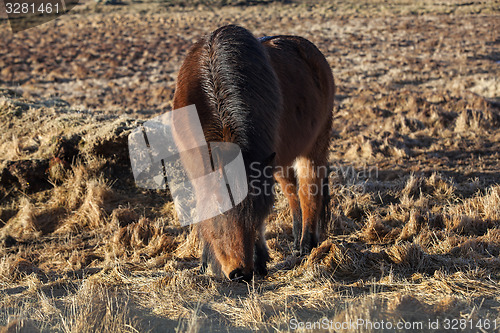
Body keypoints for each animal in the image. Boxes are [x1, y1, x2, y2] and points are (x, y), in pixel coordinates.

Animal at [174, 24, 334, 282]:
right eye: (220, 205)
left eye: (254, 211)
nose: (240, 273)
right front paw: (205, 262)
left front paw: (260, 262)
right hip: (280, 161)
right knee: (292, 193)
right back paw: (296, 243)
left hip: (314, 147)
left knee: (309, 192)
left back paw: (307, 247)